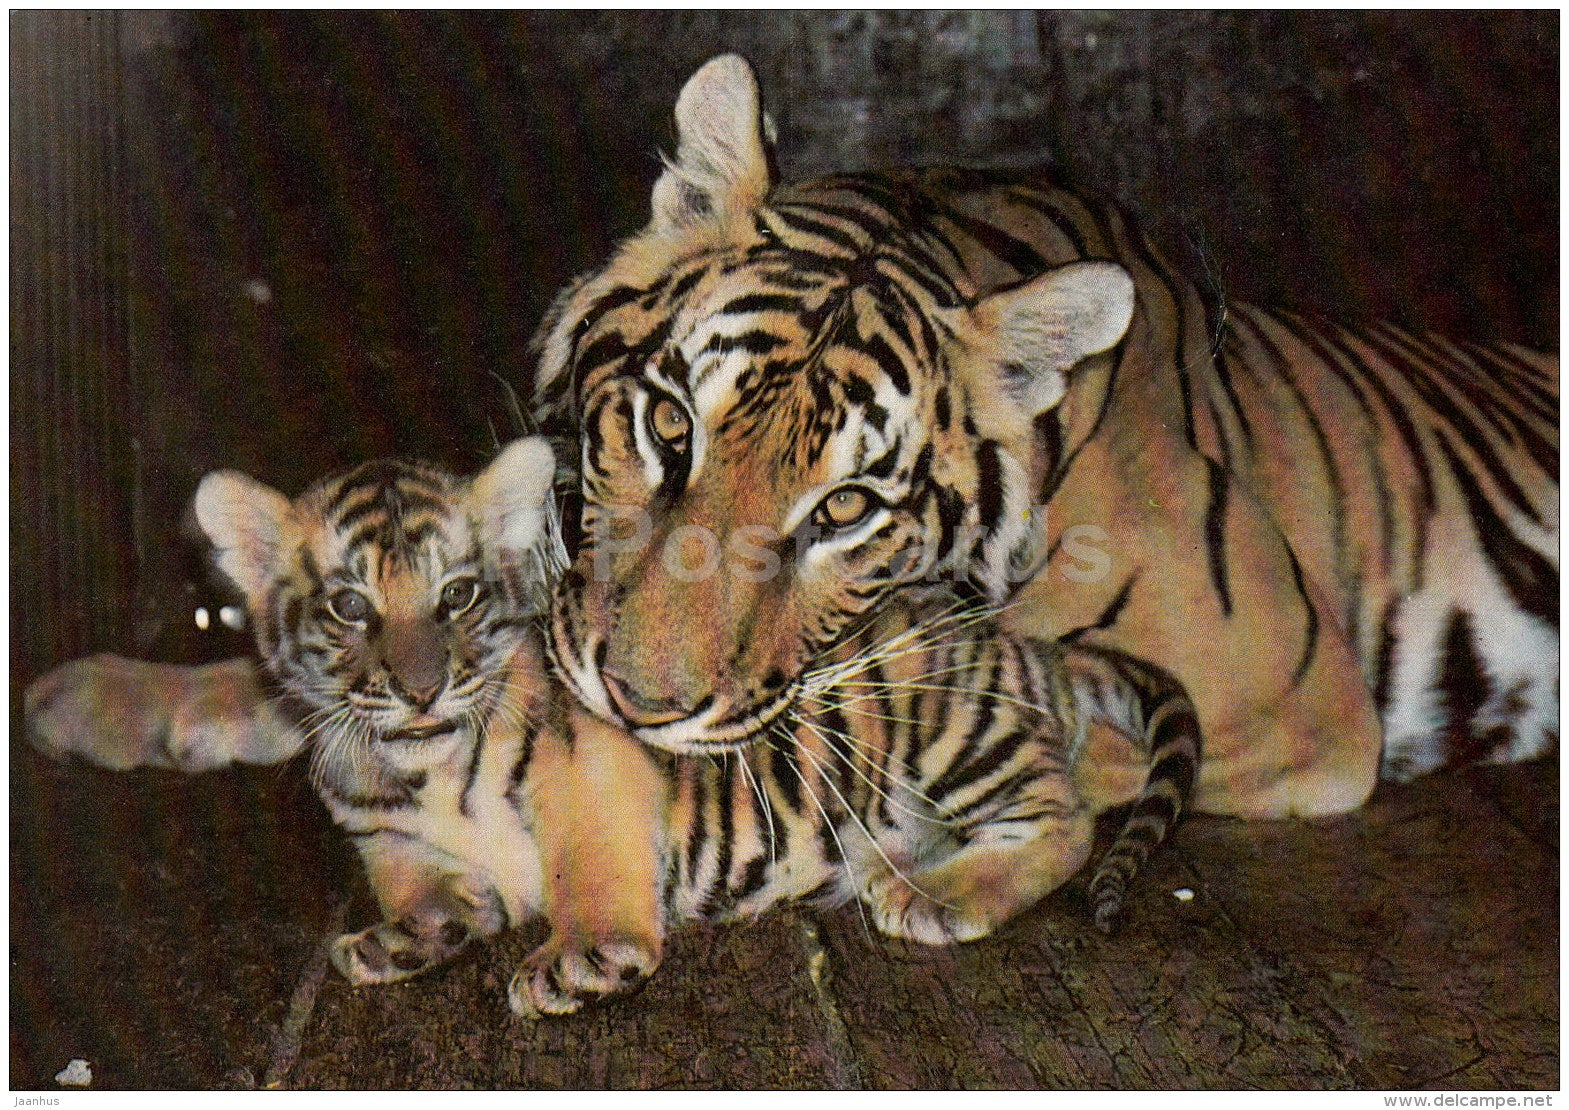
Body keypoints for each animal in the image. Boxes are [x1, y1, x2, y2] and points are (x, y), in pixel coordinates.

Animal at [27, 443, 1202, 1017]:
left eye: (456, 596)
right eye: (351, 607)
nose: (419, 689)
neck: (416, 764)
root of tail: (1029, 648)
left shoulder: (589, 771)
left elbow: (590, 868)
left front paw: (585, 957)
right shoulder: (381, 831)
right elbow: (416, 884)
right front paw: (411, 936)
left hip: (933, 725)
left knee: (1063, 819)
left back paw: (938, 892)